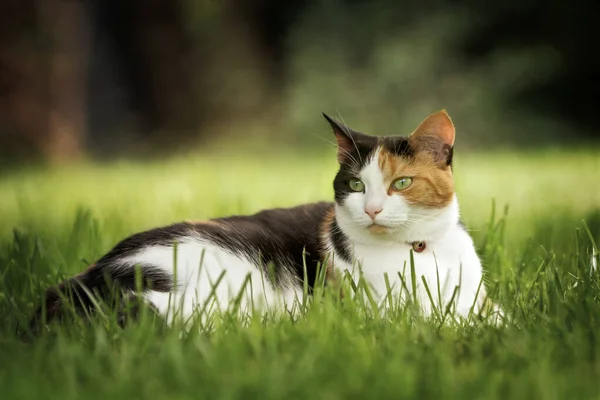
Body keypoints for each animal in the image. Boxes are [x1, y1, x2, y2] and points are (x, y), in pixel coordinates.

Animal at [32, 110, 502, 328]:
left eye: (401, 183)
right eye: (354, 185)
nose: (370, 208)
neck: (421, 249)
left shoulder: (480, 297)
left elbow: (496, 316)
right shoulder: (381, 309)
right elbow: (439, 322)